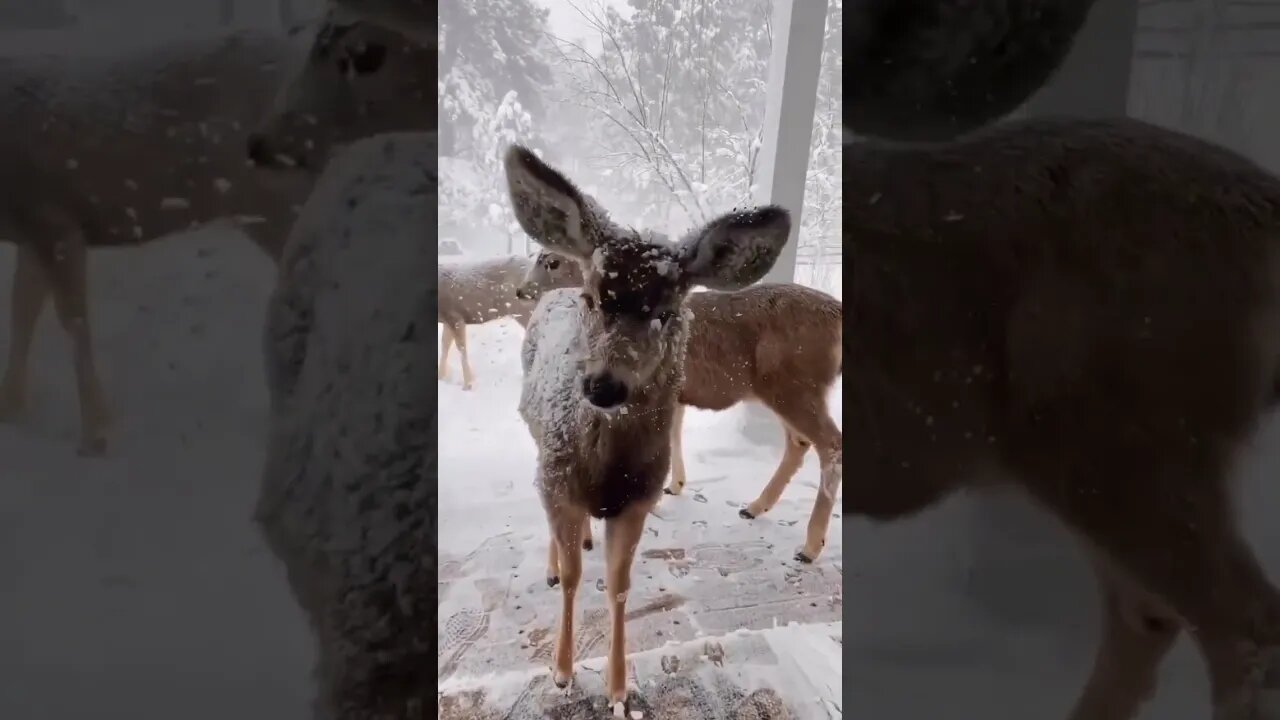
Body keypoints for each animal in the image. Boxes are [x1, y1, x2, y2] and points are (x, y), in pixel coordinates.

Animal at [0, 20, 430, 453]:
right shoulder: (31, 229)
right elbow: (22, 310)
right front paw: (14, 410)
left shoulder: (54, 218)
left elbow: (71, 320)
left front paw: (96, 433)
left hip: (279, 202)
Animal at [440, 251, 581, 389]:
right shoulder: (448, 318)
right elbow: (445, 345)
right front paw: (442, 377)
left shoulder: (454, 315)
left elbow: (461, 348)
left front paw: (468, 384)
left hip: (525, 311)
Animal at [506, 146, 788, 707]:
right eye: (594, 298)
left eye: (665, 310)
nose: (601, 386)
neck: (605, 472)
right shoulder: (559, 479)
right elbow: (573, 579)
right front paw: (562, 670)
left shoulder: (639, 498)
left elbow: (619, 586)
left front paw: (618, 687)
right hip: (541, 453)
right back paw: (553, 562)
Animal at [514, 248, 844, 561]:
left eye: (551, 261)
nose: (521, 290)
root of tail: (837, 315)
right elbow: (674, 433)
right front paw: (675, 485)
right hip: (787, 389)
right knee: (799, 442)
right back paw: (755, 507)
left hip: (796, 384)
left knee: (830, 444)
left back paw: (809, 547)